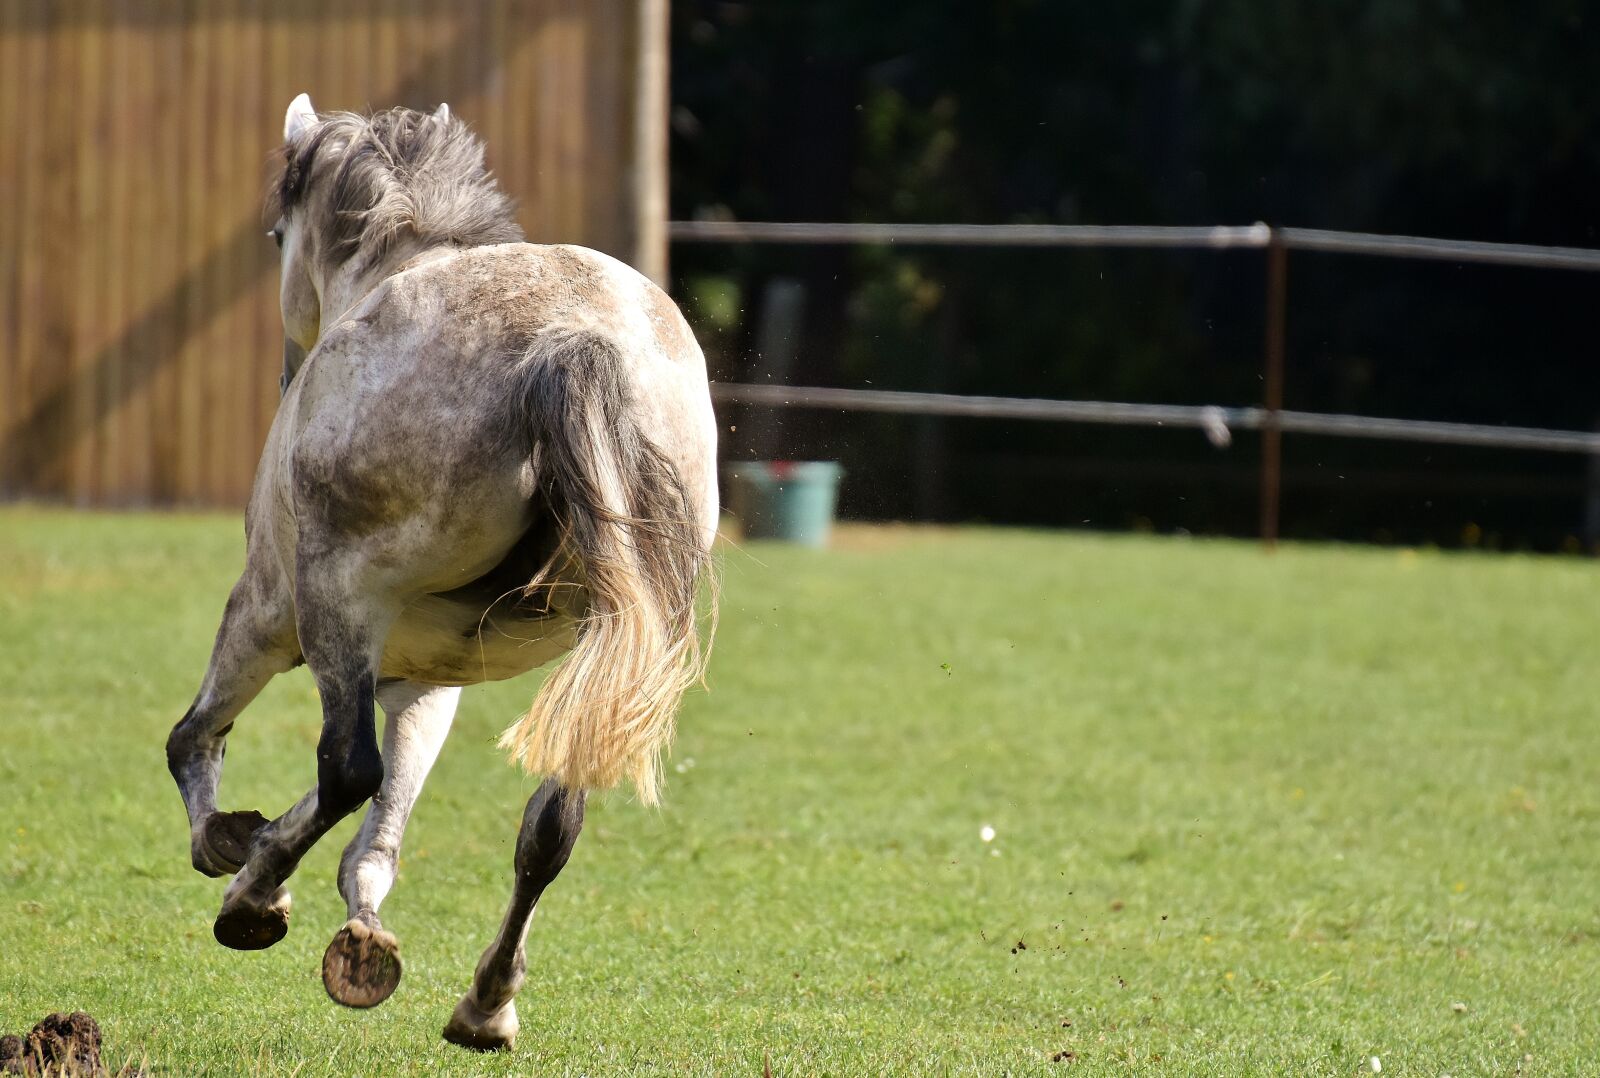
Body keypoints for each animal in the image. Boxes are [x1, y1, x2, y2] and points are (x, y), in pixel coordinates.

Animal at [164, 94, 717, 1051]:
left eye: (276, 235)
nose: (285, 370)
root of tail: (567, 340)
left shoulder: (268, 613)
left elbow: (198, 740)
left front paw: (236, 858)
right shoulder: (428, 676)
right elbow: (381, 833)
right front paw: (361, 925)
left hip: (335, 604)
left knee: (345, 767)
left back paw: (255, 888)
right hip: (613, 650)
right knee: (553, 820)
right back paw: (486, 1003)